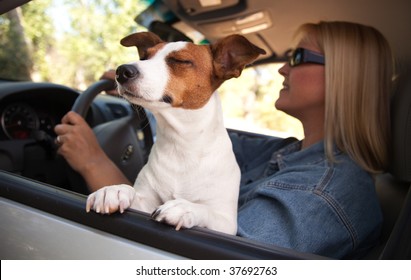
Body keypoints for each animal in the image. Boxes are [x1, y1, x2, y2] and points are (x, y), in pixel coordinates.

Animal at [87, 31, 268, 234]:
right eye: (144, 57)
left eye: (180, 61)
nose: (121, 71)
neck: (181, 144)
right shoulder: (144, 203)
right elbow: (133, 194)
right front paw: (114, 190)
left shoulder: (227, 224)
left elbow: (206, 210)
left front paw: (185, 207)